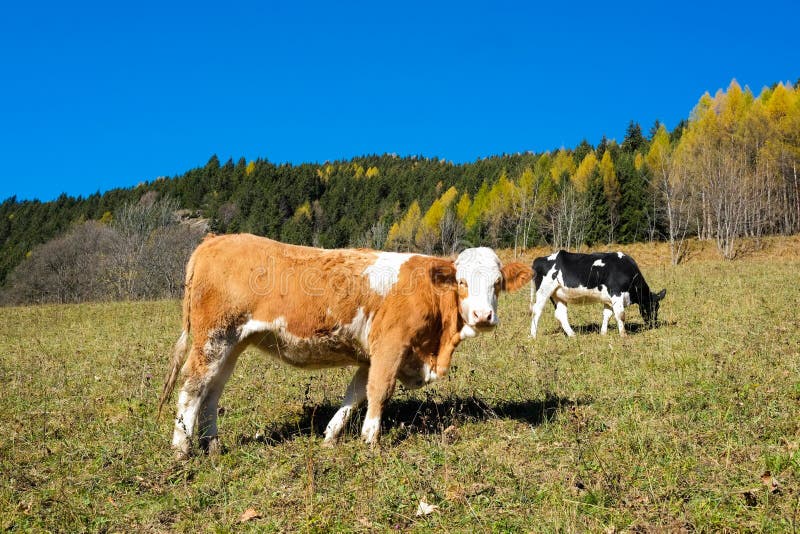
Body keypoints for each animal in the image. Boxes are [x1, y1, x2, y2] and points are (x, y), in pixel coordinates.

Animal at [156, 234, 532, 460]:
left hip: (233, 343)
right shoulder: (390, 346)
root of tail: (215, 240)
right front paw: (370, 441)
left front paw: (331, 436)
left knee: (212, 390)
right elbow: (379, 391)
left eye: (498, 283)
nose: (483, 316)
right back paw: (182, 450)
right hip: (213, 338)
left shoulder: (372, 355)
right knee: (192, 388)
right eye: (462, 282)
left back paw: (212, 446)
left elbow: (356, 394)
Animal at [532, 252, 664, 340]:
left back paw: (572, 335)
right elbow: (621, 315)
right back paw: (533, 336)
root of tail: (539, 259)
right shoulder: (616, 294)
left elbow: (607, 315)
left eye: (658, 307)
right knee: (536, 311)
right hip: (543, 291)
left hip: (558, 295)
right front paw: (624, 335)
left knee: (561, 314)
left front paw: (603, 333)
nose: (654, 324)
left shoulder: (609, 299)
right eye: (651, 307)